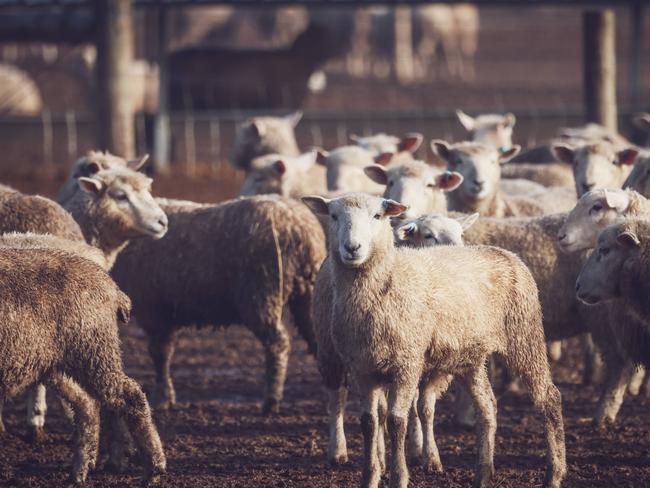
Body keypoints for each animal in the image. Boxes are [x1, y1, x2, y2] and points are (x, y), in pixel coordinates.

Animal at [0, 248, 165, 484]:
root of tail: (112, 287)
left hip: (93, 350)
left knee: (130, 396)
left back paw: (154, 469)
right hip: (60, 363)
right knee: (86, 404)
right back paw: (79, 471)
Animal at [110, 194, 326, 412]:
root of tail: (300, 227)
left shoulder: (153, 310)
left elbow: (160, 354)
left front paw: (162, 399)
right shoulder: (166, 312)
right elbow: (164, 351)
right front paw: (167, 398)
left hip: (261, 295)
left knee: (277, 344)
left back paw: (271, 400)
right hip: (306, 294)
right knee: (317, 338)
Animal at [302, 193, 560, 488]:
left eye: (377, 216)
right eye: (333, 216)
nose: (352, 247)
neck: (388, 279)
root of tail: (505, 253)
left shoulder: (407, 364)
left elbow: (397, 421)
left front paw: (399, 476)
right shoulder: (363, 369)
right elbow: (370, 422)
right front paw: (370, 476)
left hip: (524, 335)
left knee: (549, 398)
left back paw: (554, 473)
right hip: (469, 358)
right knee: (487, 406)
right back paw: (483, 473)